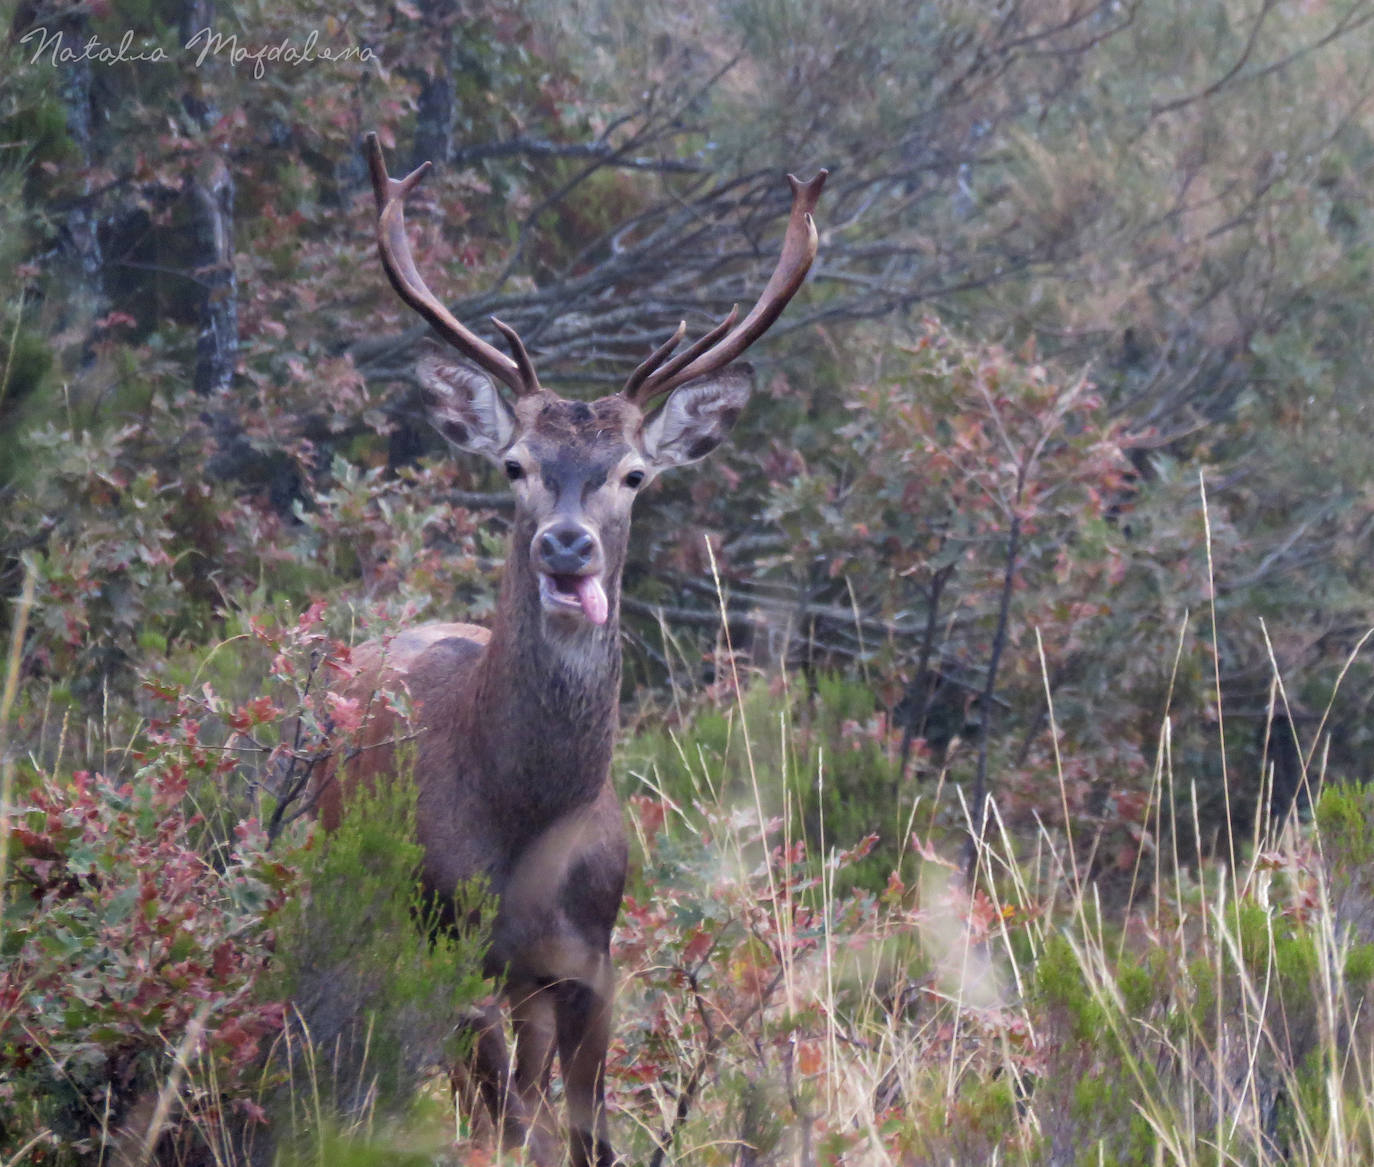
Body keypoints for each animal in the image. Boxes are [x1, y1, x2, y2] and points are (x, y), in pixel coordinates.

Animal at [314, 131, 824, 1165]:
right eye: (515, 464)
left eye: (633, 474)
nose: (565, 543)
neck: (525, 818)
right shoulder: (449, 941)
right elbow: (503, 1123)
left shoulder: (592, 961)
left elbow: (586, 1133)